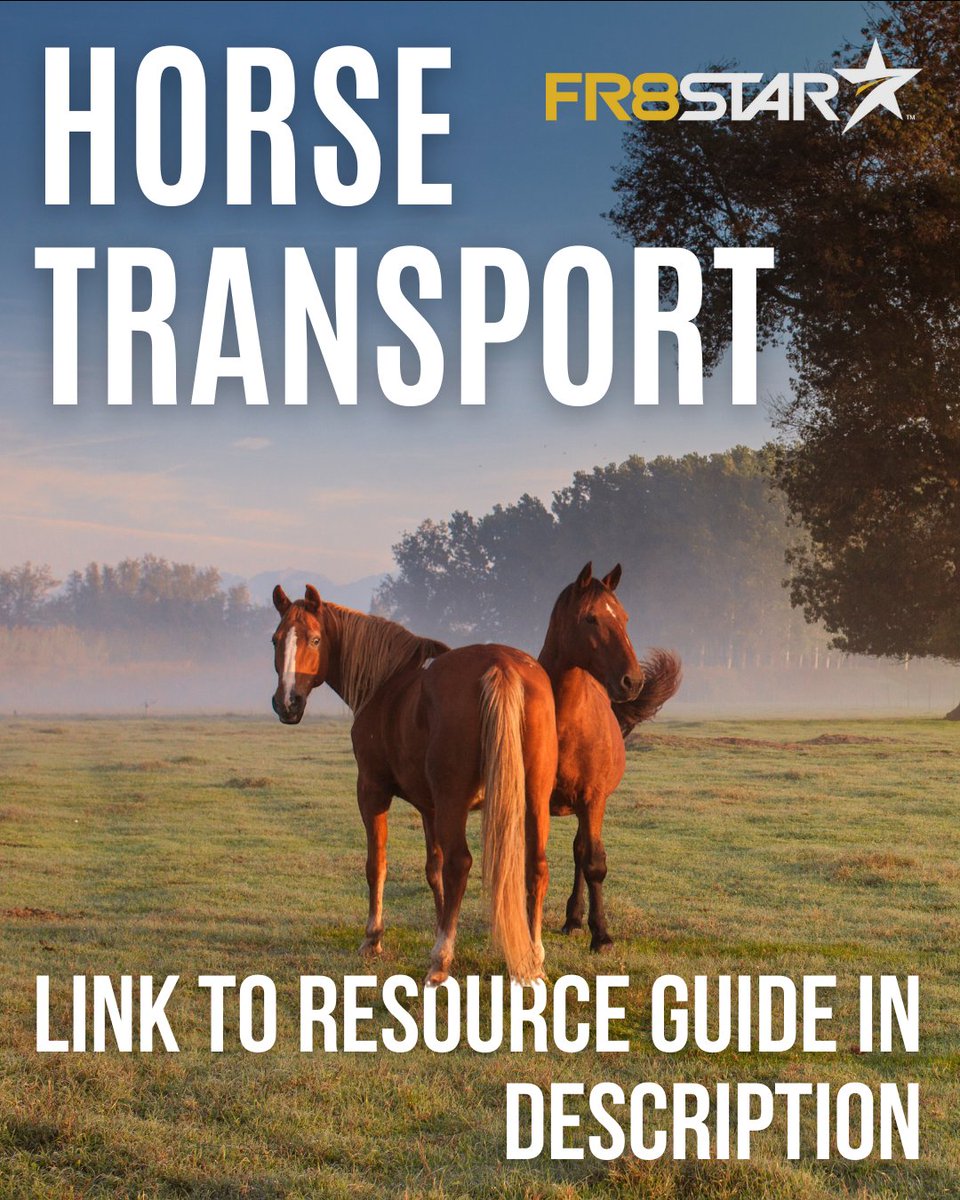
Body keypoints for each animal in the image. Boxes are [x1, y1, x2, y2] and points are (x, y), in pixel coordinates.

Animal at [270, 584, 558, 986]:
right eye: (276, 640)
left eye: (314, 639)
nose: (287, 703)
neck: (385, 684)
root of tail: (500, 666)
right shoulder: (430, 807)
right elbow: (433, 870)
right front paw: (439, 927)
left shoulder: (372, 791)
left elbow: (377, 864)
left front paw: (373, 939)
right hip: (533, 799)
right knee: (536, 867)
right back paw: (533, 958)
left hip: (455, 803)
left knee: (460, 864)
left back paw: (441, 960)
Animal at [538, 563, 682, 950]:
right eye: (591, 618)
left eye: (625, 618)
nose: (633, 681)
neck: (563, 720)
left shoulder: (593, 798)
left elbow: (594, 863)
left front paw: (601, 934)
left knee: (580, 852)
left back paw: (575, 919)